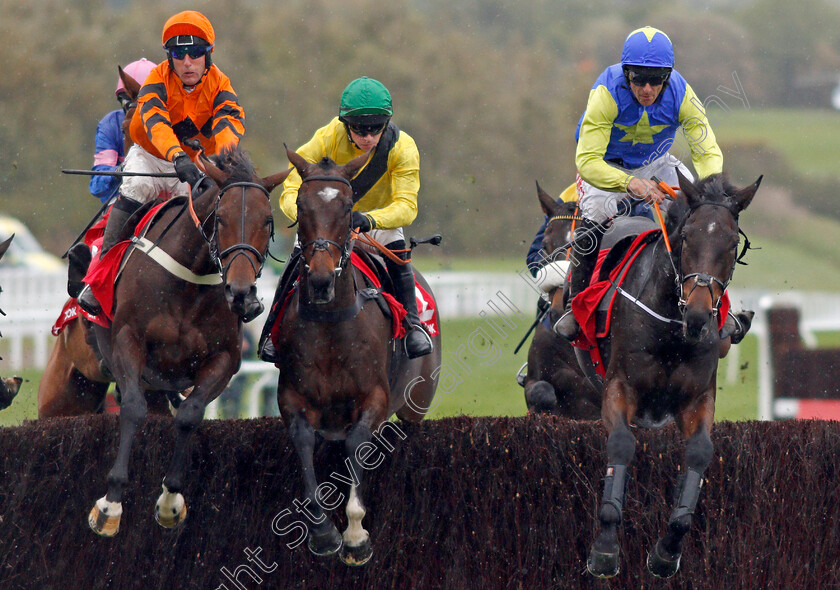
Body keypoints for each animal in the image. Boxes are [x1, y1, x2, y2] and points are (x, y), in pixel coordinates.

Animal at [85, 146, 288, 540]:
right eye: (220, 219)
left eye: (268, 221)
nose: (241, 293)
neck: (190, 281)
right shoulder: (128, 341)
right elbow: (133, 408)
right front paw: (110, 503)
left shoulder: (224, 359)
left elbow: (191, 414)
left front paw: (170, 500)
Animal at [274, 148, 446, 568]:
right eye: (300, 205)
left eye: (349, 206)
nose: (321, 279)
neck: (331, 324)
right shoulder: (292, 397)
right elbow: (303, 441)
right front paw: (322, 532)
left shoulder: (375, 397)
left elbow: (356, 444)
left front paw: (355, 536)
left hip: (417, 401)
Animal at [584, 171, 760, 580]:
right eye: (687, 236)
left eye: (732, 244)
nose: (697, 316)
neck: (671, 328)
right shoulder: (619, 387)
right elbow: (621, 444)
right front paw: (605, 549)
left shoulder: (697, 398)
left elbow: (700, 453)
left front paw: (666, 552)